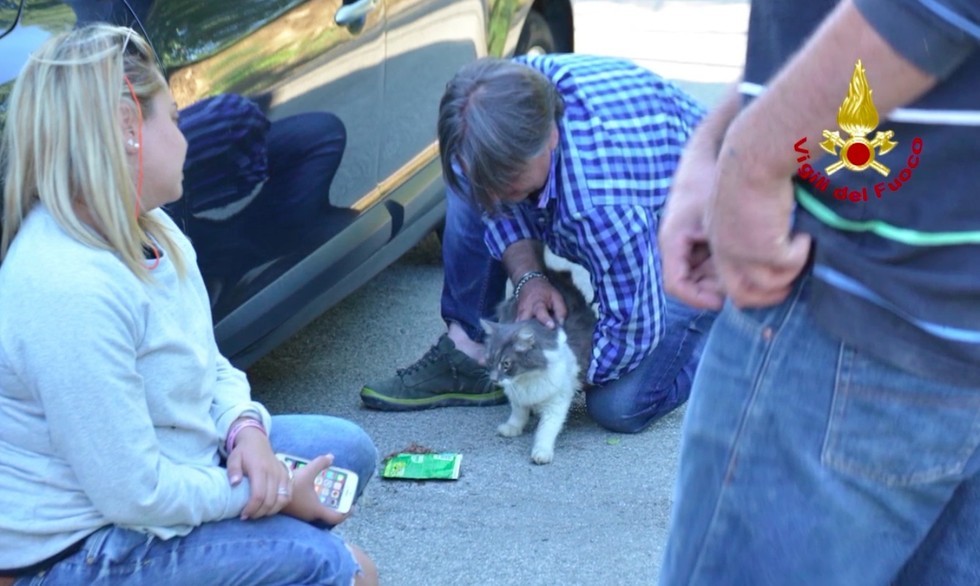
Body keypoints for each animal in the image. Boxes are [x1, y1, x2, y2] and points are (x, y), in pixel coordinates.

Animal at [478, 266, 592, 464]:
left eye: (506, 364)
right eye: (490, 360)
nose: (494, 379)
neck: (526, 379)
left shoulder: (557, 400)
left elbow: (546, 430)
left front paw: (542, 452)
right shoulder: (516, 395)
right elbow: (518, 413)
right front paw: (512, 427)